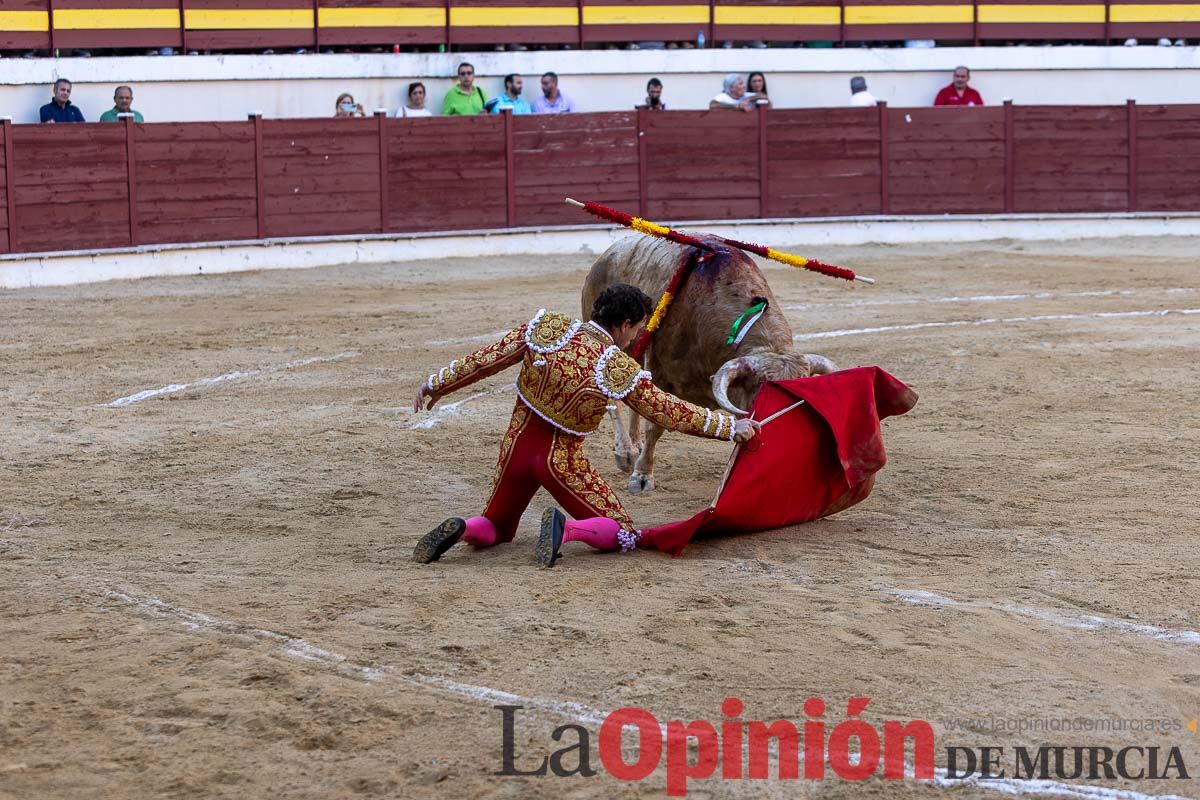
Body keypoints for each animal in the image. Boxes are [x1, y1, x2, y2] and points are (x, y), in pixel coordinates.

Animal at [580, 235, 835, 491]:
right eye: (764, 394)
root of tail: (608, 253)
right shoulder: (659, 371)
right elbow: (655, 424)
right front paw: (642, 476)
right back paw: (626, 453)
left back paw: (635, 445)